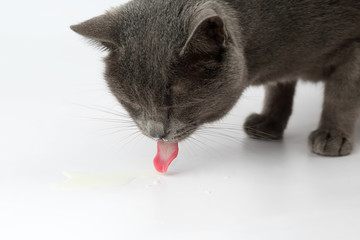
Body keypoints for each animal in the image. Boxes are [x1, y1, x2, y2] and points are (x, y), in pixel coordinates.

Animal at [71, 0, 360, 157]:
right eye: (130, 102)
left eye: (179, 103)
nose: (157, 134)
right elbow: (278, 87)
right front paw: (268, 122)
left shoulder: (355, 44)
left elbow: (341, 93)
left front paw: (332, 135)